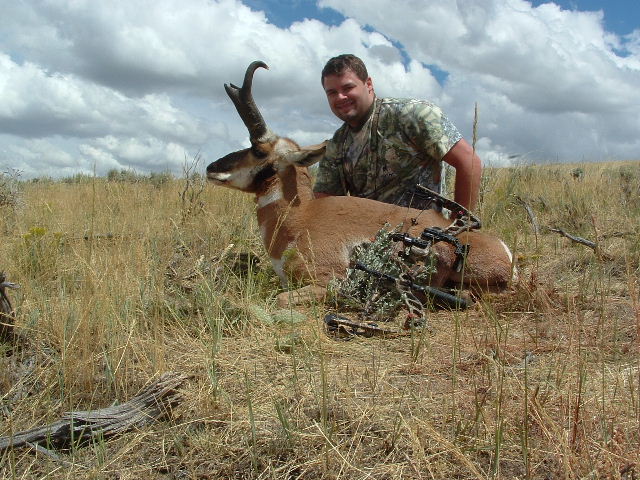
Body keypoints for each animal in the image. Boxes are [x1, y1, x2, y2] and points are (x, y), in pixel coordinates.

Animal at [208, 62, 516, 304]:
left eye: (258, 150)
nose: (212, 168)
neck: (299, 215)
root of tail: (504, 250)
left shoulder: (329, 280)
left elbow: (281, 299)